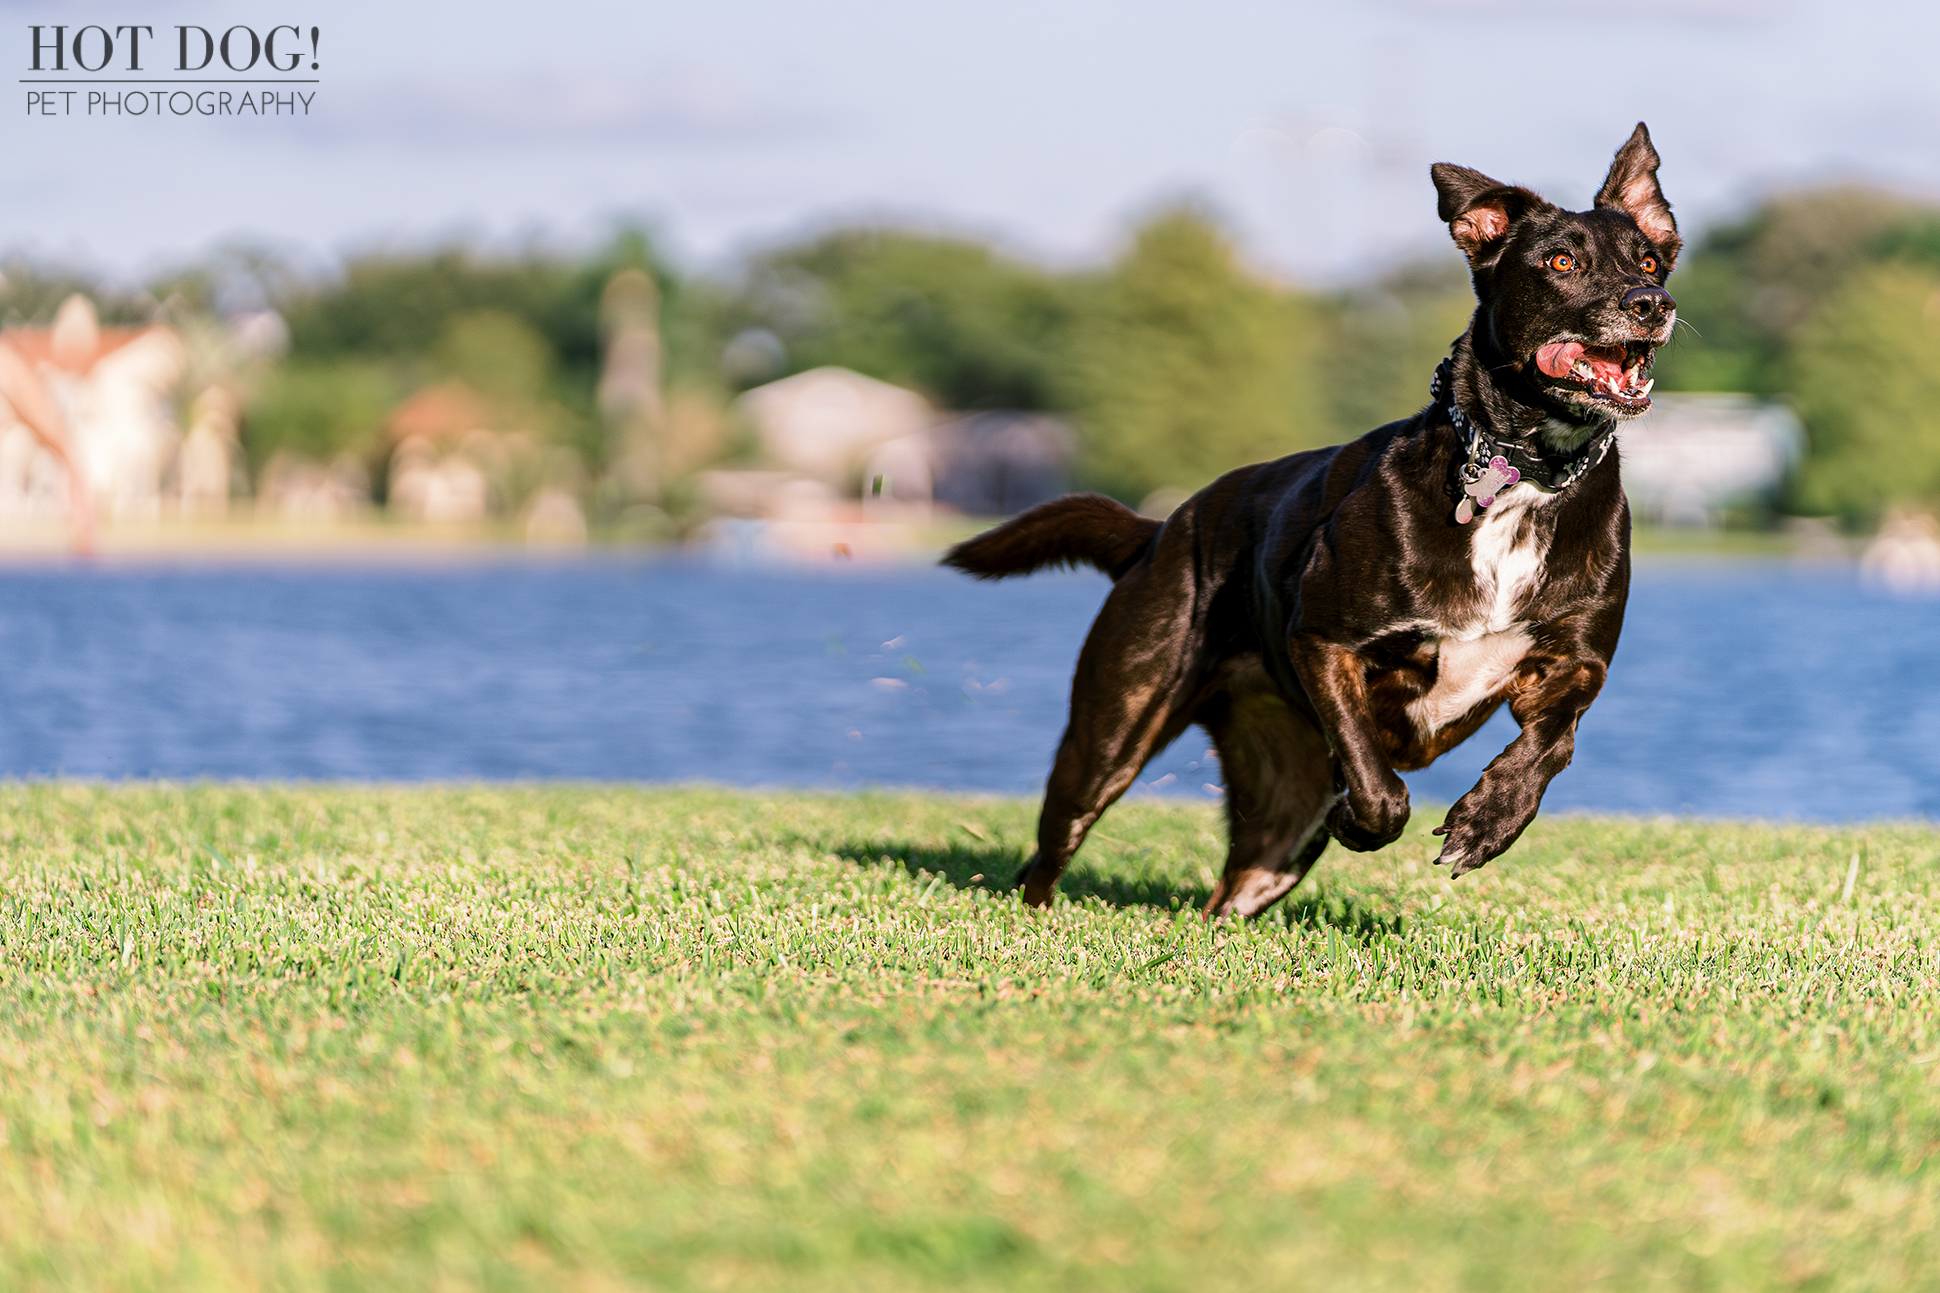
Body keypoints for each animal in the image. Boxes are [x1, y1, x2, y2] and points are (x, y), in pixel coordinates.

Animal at [946, 118, 1676, 904]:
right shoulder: (1326, 642)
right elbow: (1376, 782)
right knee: (1048, 852)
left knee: (1229, 893)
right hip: (1113, 730)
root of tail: (1160, 531)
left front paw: (1491, 820)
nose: (1650, 304)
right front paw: (1363, 817)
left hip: (1275, 819)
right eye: (1562, 261)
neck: (1523, 476)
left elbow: (1553, 745)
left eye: (1650, 260)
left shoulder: (1577, 665)